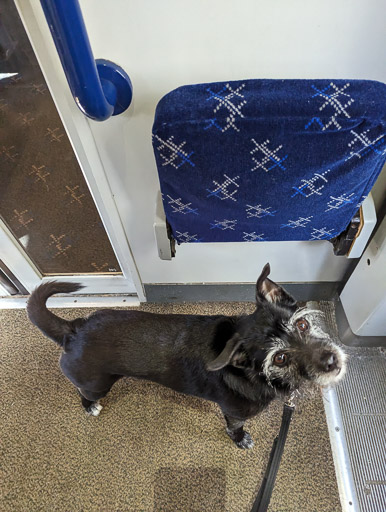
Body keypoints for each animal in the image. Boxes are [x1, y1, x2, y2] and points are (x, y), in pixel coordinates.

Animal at [27, 264, 346, 448]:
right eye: (279, 357)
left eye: (302, 325)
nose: (332, 360)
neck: (253, 374)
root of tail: (72, 330)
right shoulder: (233, 413)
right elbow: (235, 429)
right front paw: (241, 440)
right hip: (97, 384)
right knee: (84, 394)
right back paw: (90, 407)